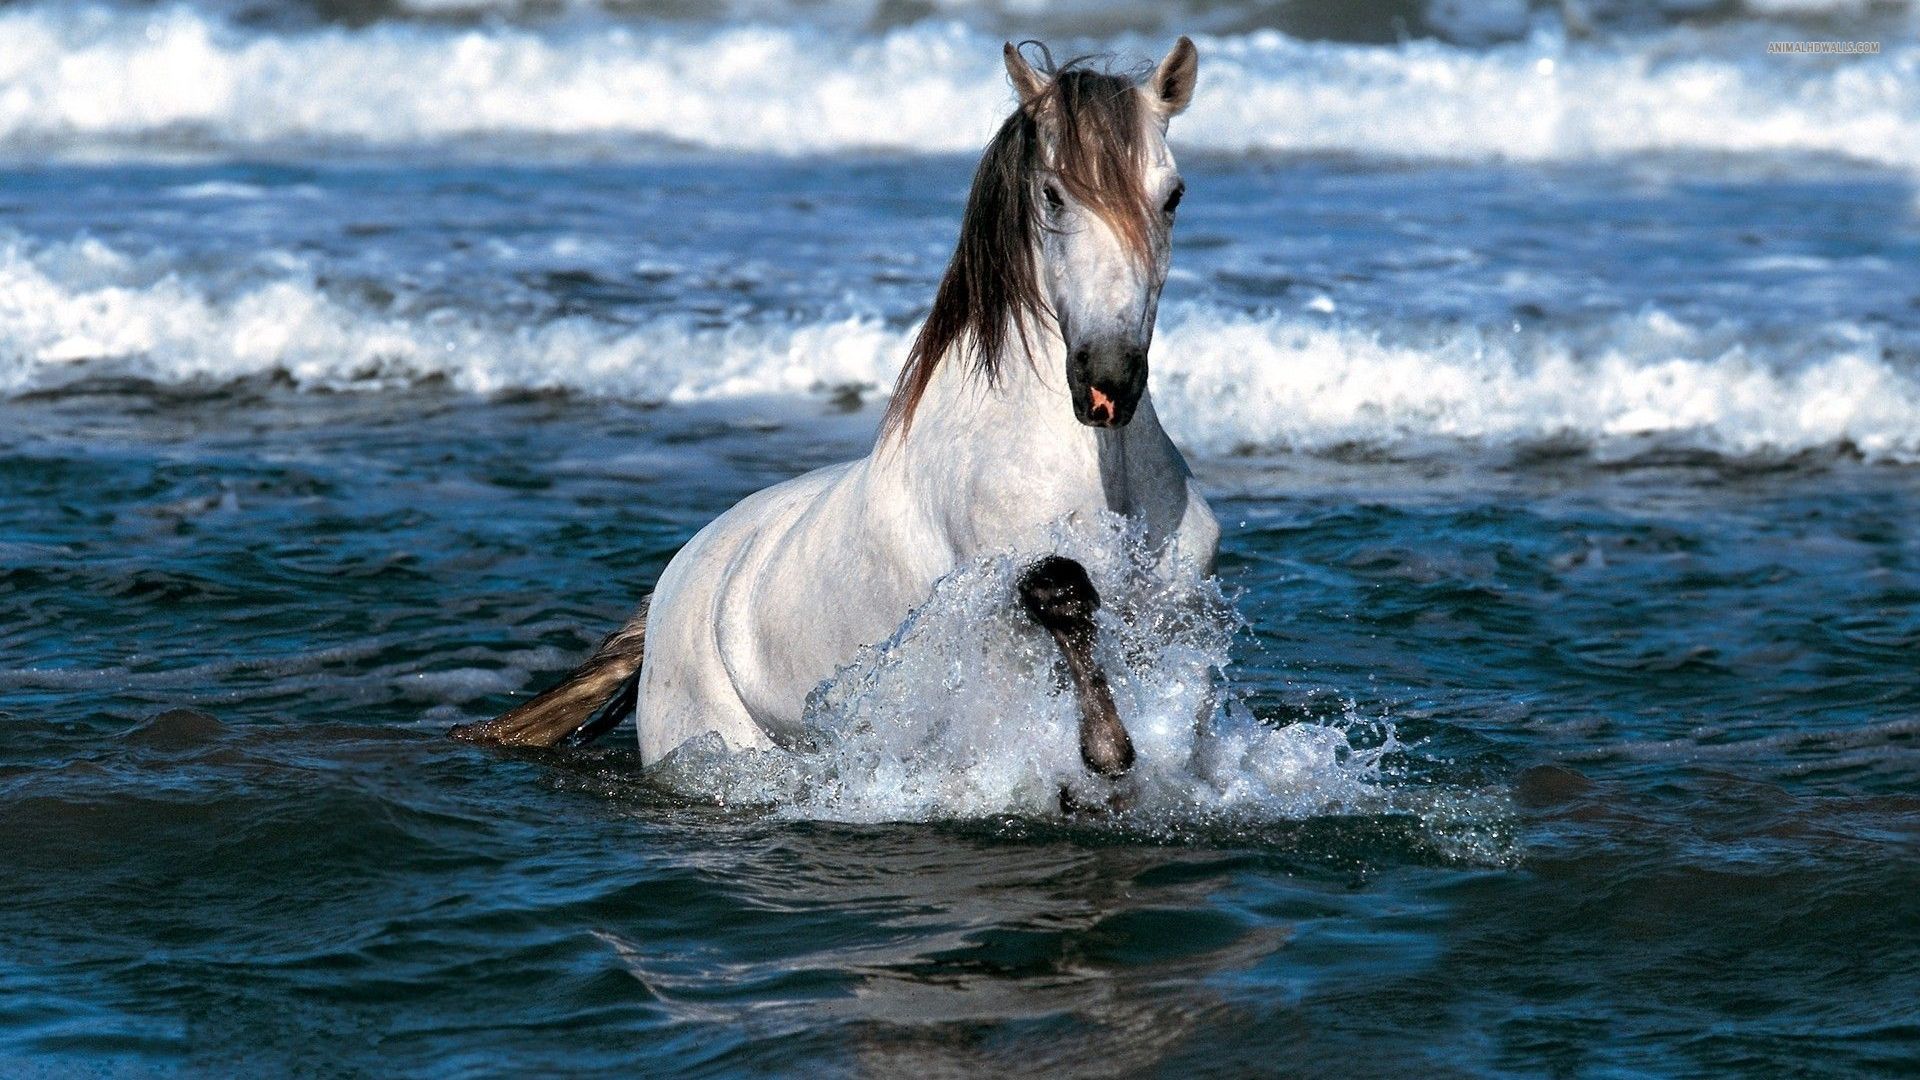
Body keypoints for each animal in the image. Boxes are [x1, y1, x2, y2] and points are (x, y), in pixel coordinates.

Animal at [454, 38, 1217, 782]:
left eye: (1174, 195)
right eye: (1054, 196)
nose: (1108, 379)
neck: (1099, 474)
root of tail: (670, 588)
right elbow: (1059, 592)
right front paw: (1105, 751)